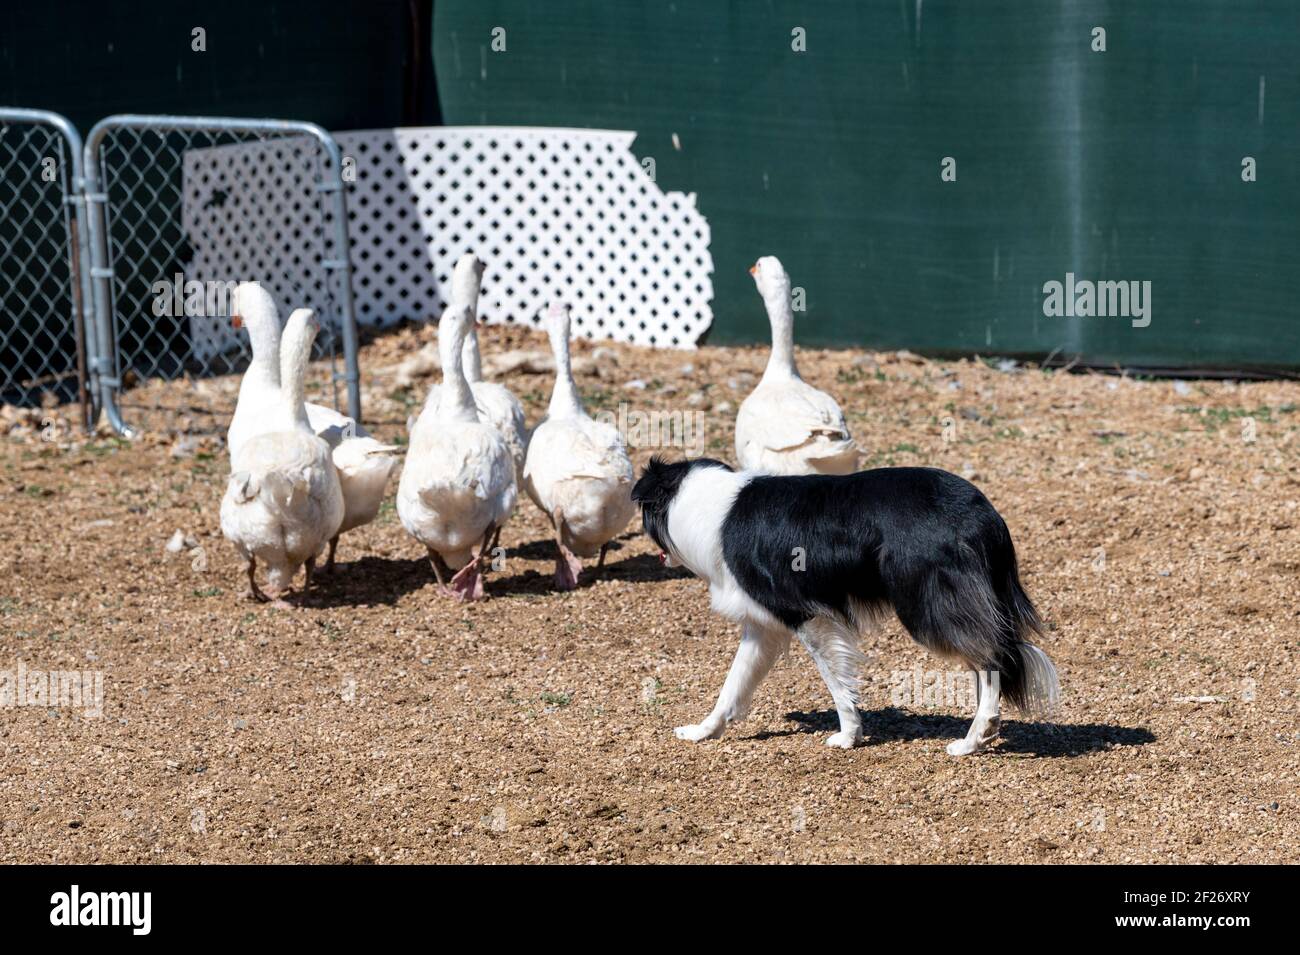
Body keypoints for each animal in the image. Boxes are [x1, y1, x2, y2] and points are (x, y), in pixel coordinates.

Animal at [634, 459, 1060, 758]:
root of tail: (983, 514)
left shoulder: (806, 616)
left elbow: (836, 682)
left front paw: (849, 734)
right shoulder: (763, 627)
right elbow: (732, 685)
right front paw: (704, 731)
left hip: (929, 607)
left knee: (992, 657)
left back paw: (976, 737)